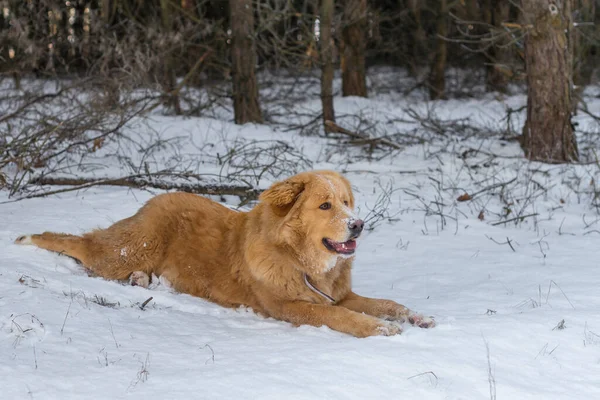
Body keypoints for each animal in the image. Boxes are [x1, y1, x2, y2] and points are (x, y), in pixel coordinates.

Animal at [16, 170, 434, 336]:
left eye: (347, 202)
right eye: (326, 206)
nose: (358, 224)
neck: (298, 258)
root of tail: (154, 199)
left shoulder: (341, 294)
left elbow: (386, 303)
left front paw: (416, 316)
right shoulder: (292, 307)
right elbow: (340, 317)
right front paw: (379, 329)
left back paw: (141, 281)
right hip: (127, 251)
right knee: (83, 248)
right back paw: (31, 240)